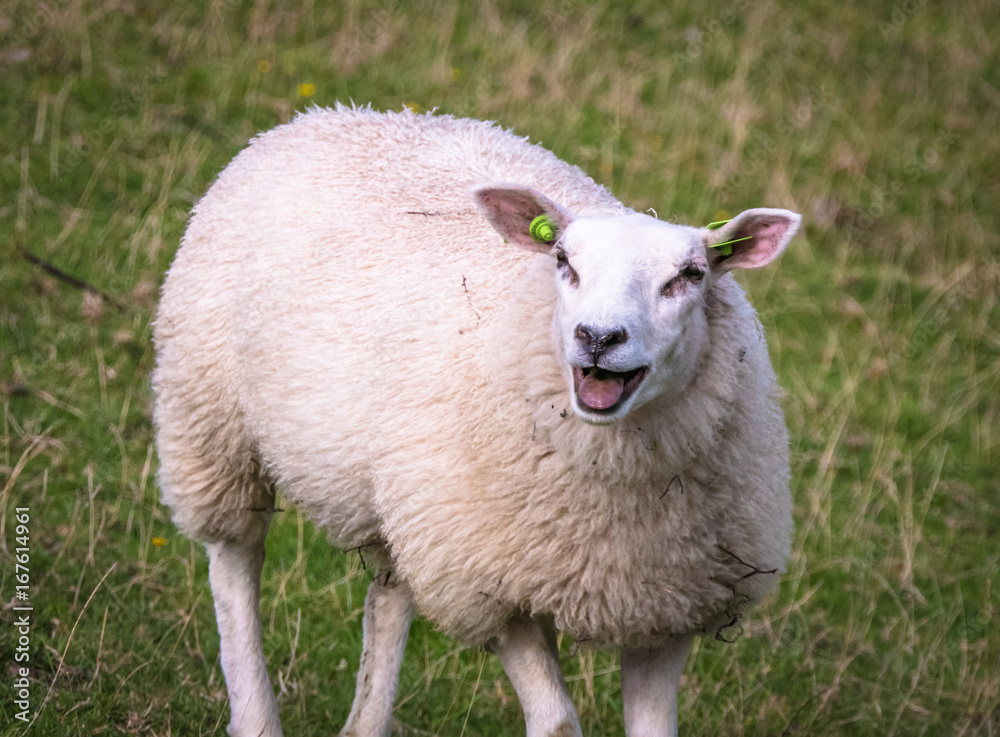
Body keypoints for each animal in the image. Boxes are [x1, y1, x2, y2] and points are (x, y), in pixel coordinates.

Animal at [152, 104, 801, 737]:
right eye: (563, 261)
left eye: (691, 275)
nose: (598, 337)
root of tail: (336, 112)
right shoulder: (496, 590)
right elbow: (557, 723)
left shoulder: (666, 608)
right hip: (208, 416)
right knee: (235, 558)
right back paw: (254, 714)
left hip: (406, 495)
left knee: (389, 593)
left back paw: (365, 724)